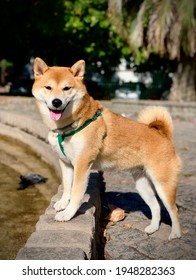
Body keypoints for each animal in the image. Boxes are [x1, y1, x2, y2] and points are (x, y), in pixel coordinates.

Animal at [32, 58, 182, 240]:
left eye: (66, 88)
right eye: (48, 87)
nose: (56, 102)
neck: (73, 124)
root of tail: (164, 135)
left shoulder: (82, 165)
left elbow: (75, 193)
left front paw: (68, 214)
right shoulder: (66, 163)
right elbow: (67, 186)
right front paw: (62, 203)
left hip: (163, 185)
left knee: (173, 210)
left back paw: (176, 234)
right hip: (143, 185)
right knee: (156, 207)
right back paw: (153, 228)